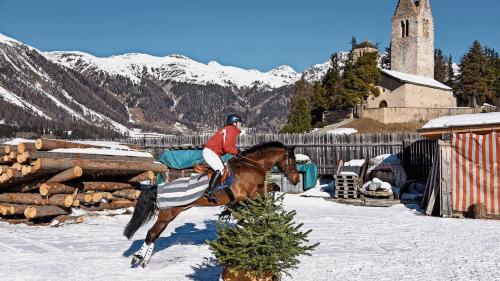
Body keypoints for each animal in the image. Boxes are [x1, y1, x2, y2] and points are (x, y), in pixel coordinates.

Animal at [122, 141, 298, 266]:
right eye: (294, 161)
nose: (296, 180)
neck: (253, 164)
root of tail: (158, 188)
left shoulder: (248, 196)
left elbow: (271, 189)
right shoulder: (250, 194)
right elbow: (270, 190)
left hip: (166, 217)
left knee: (154, 235)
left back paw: (144, 260)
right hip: (167, 215)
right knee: (151, 234)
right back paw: (138, 257)